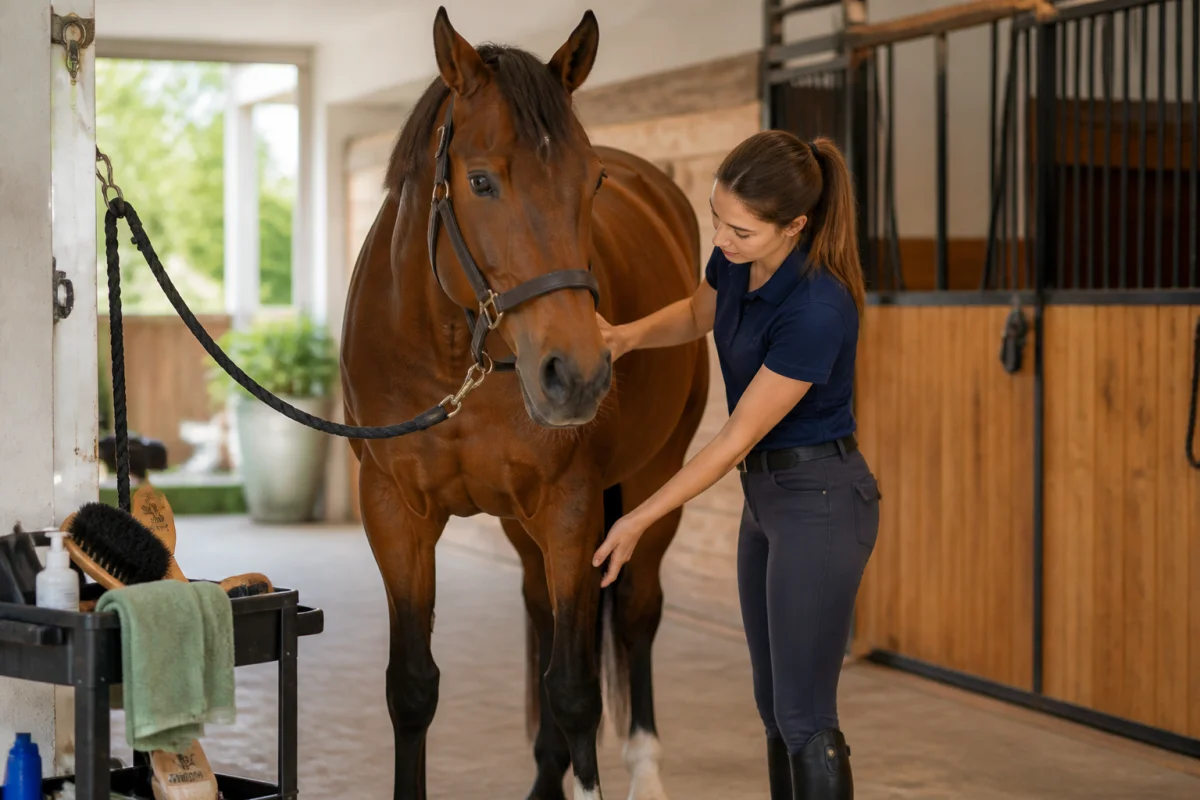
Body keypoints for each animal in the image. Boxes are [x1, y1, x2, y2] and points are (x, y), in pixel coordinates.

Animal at [339, 8, 709, 799]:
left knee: (636, 613)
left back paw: (644, 769)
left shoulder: (570, 508)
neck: (455, 353)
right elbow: (411, 686)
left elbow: (573, 689)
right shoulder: (392, 511)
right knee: (542, 612)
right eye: (481, 181)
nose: (578, 375)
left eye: (592, 181)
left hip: (656, 480)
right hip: (522, 522)